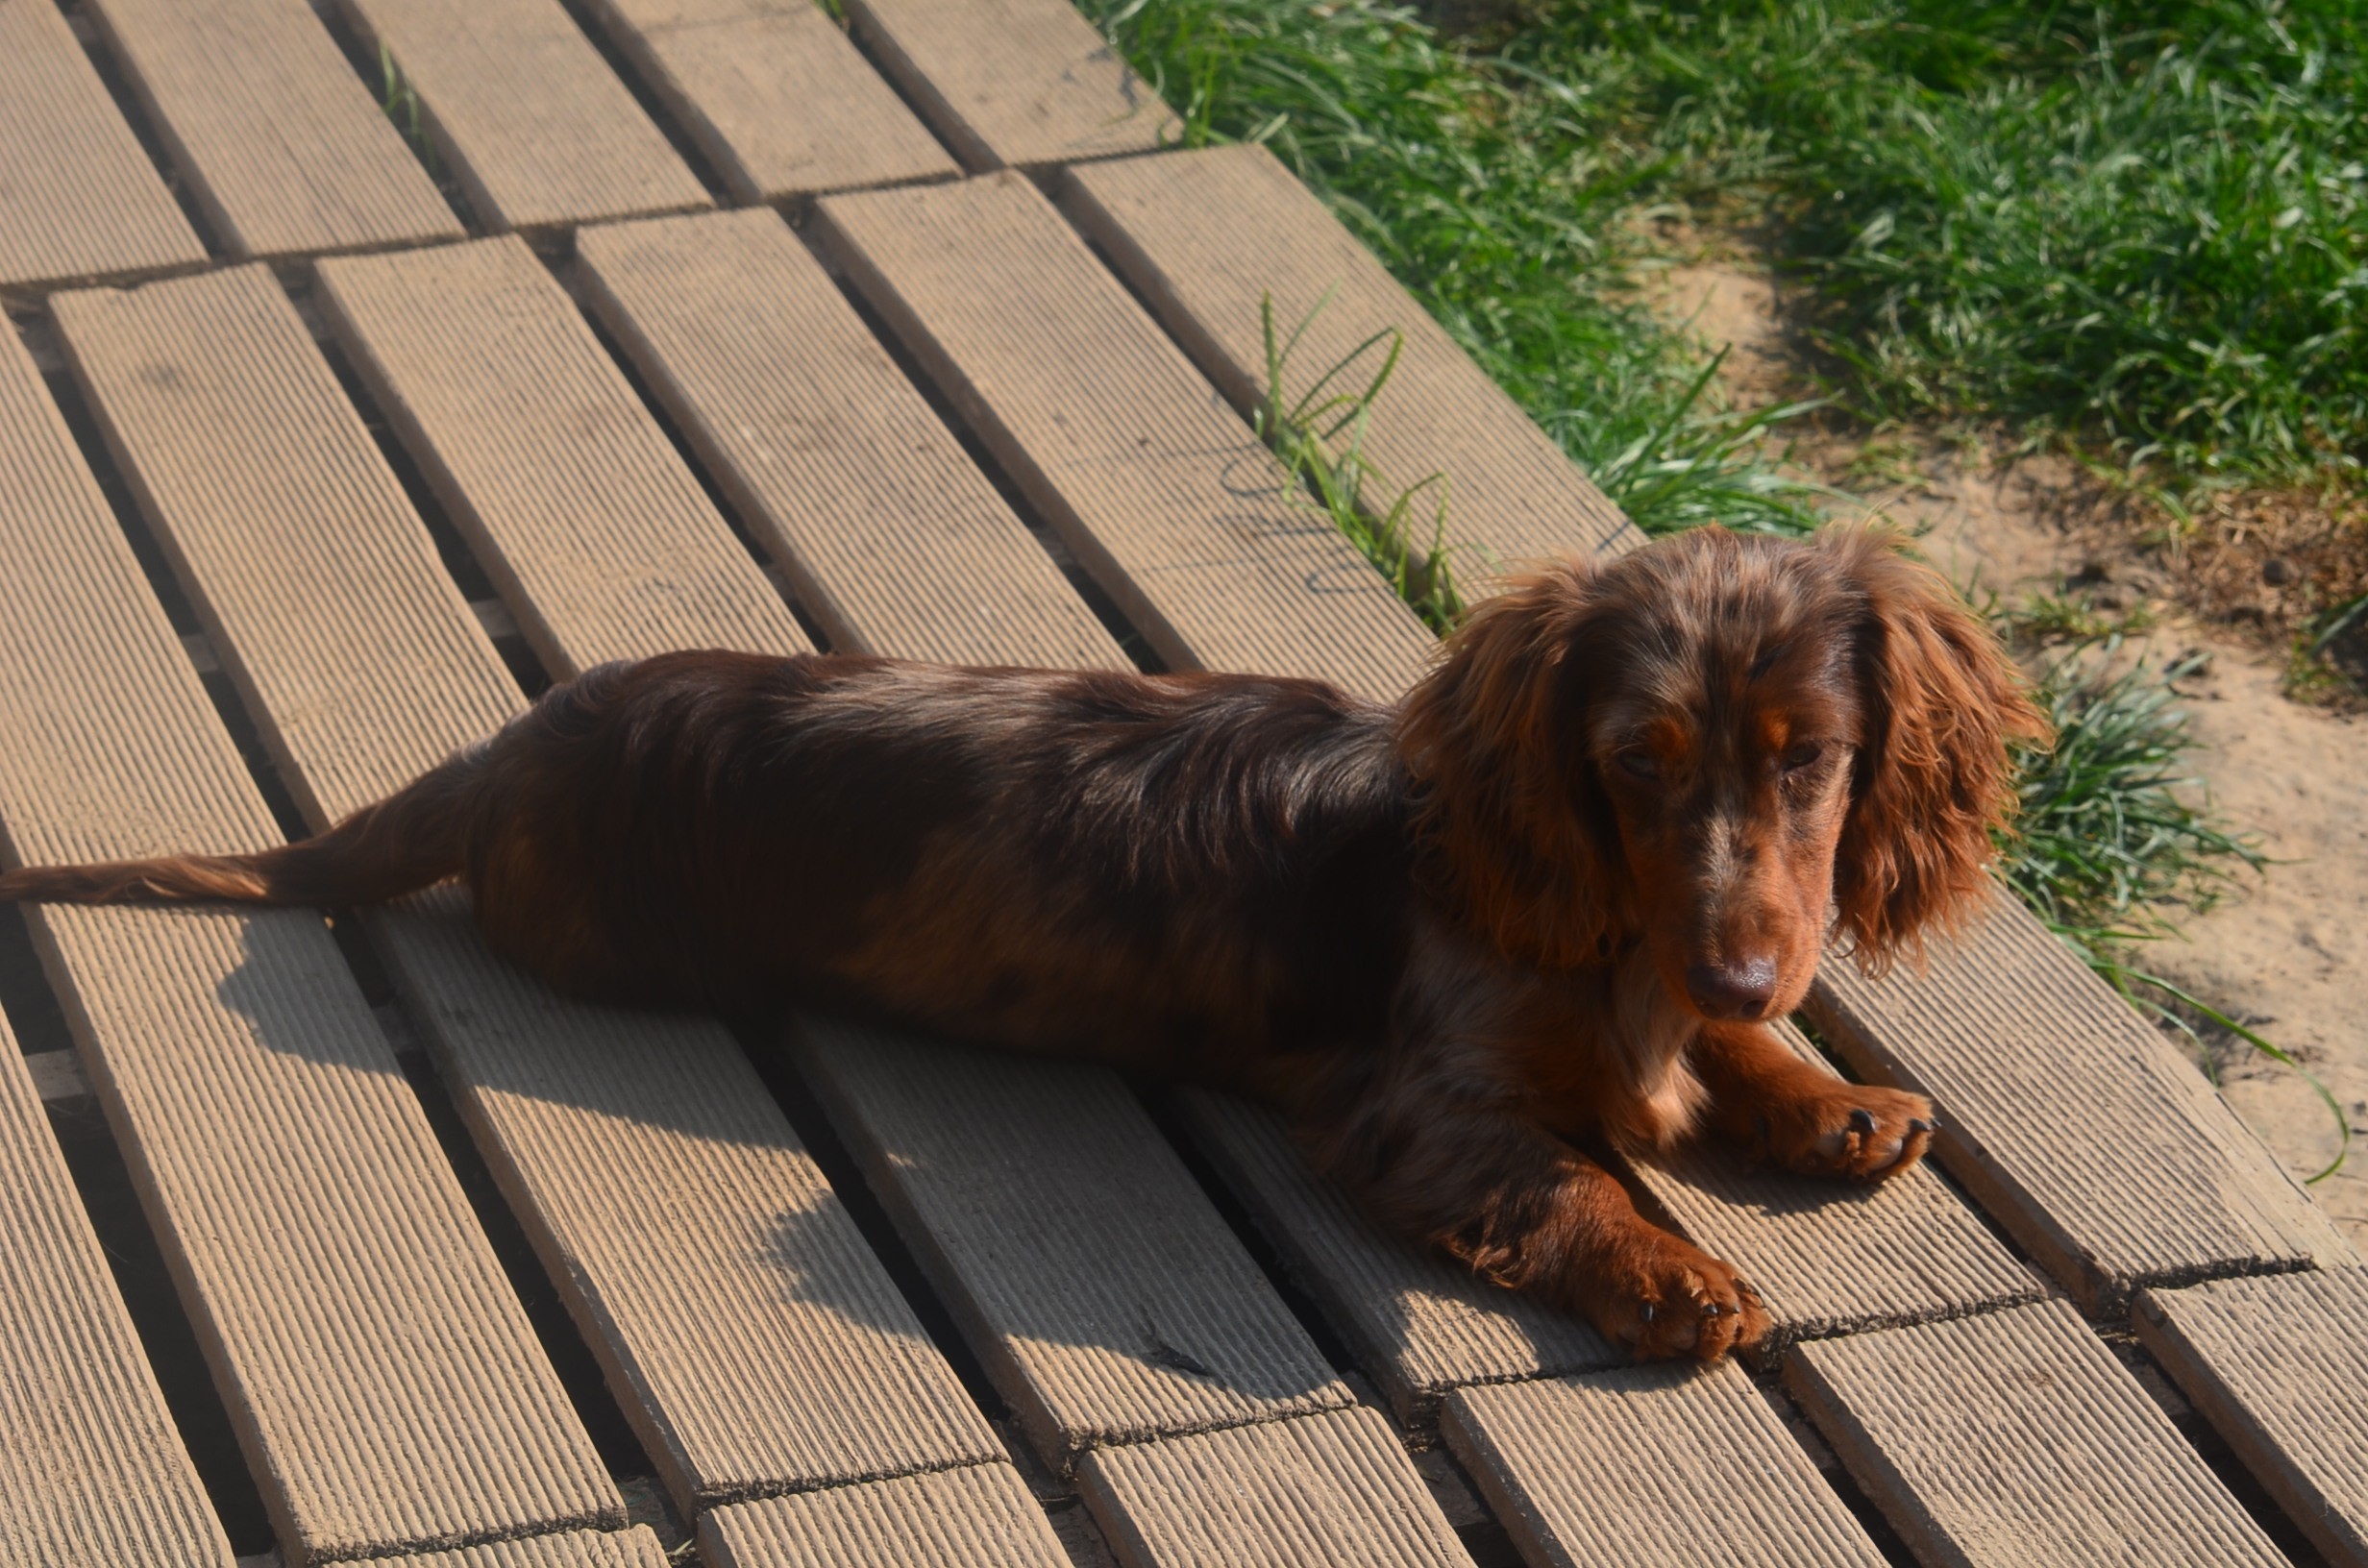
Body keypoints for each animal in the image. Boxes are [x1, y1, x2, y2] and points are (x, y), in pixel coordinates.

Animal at [0, 526, 2045, 1363]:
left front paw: (1818, 1094)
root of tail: (517, 741)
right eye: (1637, 762)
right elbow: (1571, 1175)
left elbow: (1716, 1069)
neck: (1598, 932)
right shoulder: (1413, 1102)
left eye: (1810, 757)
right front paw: (1678, 1272)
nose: (1741, 969)